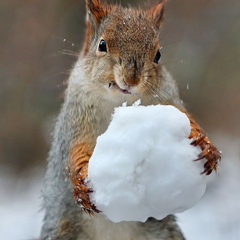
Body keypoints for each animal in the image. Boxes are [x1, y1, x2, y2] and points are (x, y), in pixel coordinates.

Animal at [39, 0, 221, 239]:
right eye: (102, 45)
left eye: (158, 55)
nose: (131, 79)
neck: (120, 102)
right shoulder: (76, 121)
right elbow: (77, 151)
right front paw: (82, 184)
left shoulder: (170, 101)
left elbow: (189, 120)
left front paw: (206, 146)